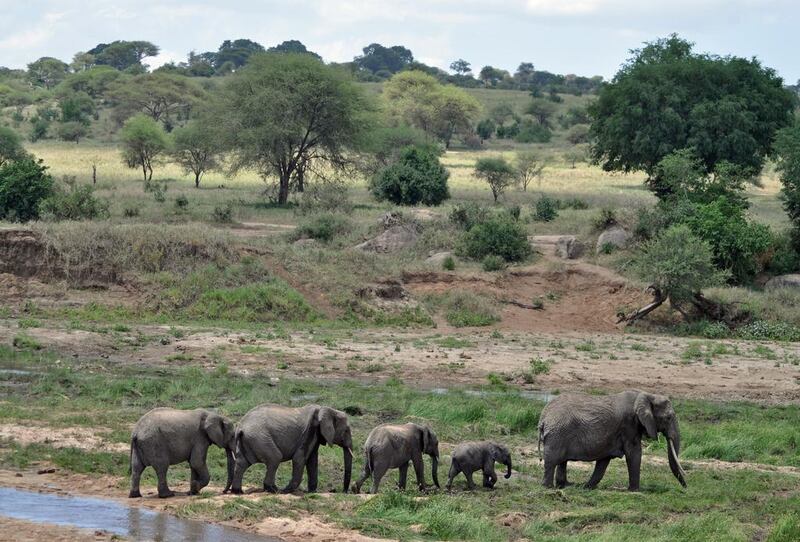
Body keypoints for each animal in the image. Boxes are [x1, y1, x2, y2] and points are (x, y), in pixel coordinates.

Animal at [536, 392, 684, 492]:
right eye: (668, 418)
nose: (685, 488)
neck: (647, 395)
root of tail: (543, 418)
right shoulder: (629, 425)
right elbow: (634, 453)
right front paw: (635, 491)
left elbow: (604, 460)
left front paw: (587, 487)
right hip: (557, 434)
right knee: (552, 461)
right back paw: (548, 487)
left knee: (562, 461)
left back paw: (566, 485)